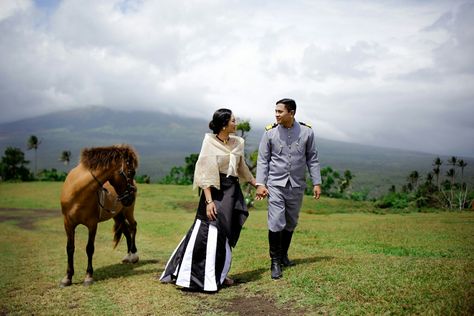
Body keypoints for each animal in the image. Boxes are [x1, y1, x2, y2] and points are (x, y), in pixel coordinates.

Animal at [59, 144, 139, 286]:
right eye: (131, 172)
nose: (130, 197)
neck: (78, 192)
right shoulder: (68, 223)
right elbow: (70, 248)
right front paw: (68, 277)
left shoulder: (92, 224)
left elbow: (89, 248)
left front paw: (88, 276)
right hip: (118, 215)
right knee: (126, 229)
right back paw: (128, 256)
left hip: (128, 211)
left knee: (133, 227)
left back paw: (133, 255)